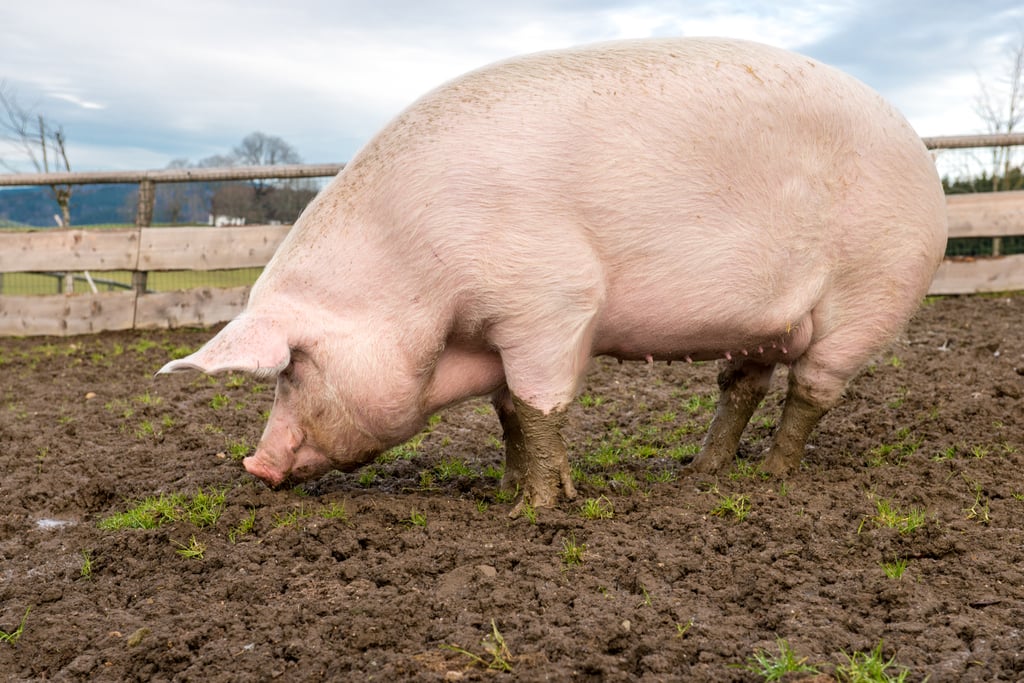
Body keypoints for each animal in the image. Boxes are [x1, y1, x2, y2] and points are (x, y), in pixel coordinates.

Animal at [155, 36, 946, 511]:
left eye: (292, 368)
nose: (254, 465)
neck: (412, 279)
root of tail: (921, 150)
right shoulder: (493, 330)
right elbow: (508, 409)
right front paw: (505, 490)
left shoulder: (553, 301)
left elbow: (540, 404)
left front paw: (536, 510)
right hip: (764, 321)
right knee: (742, 384)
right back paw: (700, 473)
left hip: (874, 292)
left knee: (813, 388)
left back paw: (772, 477)